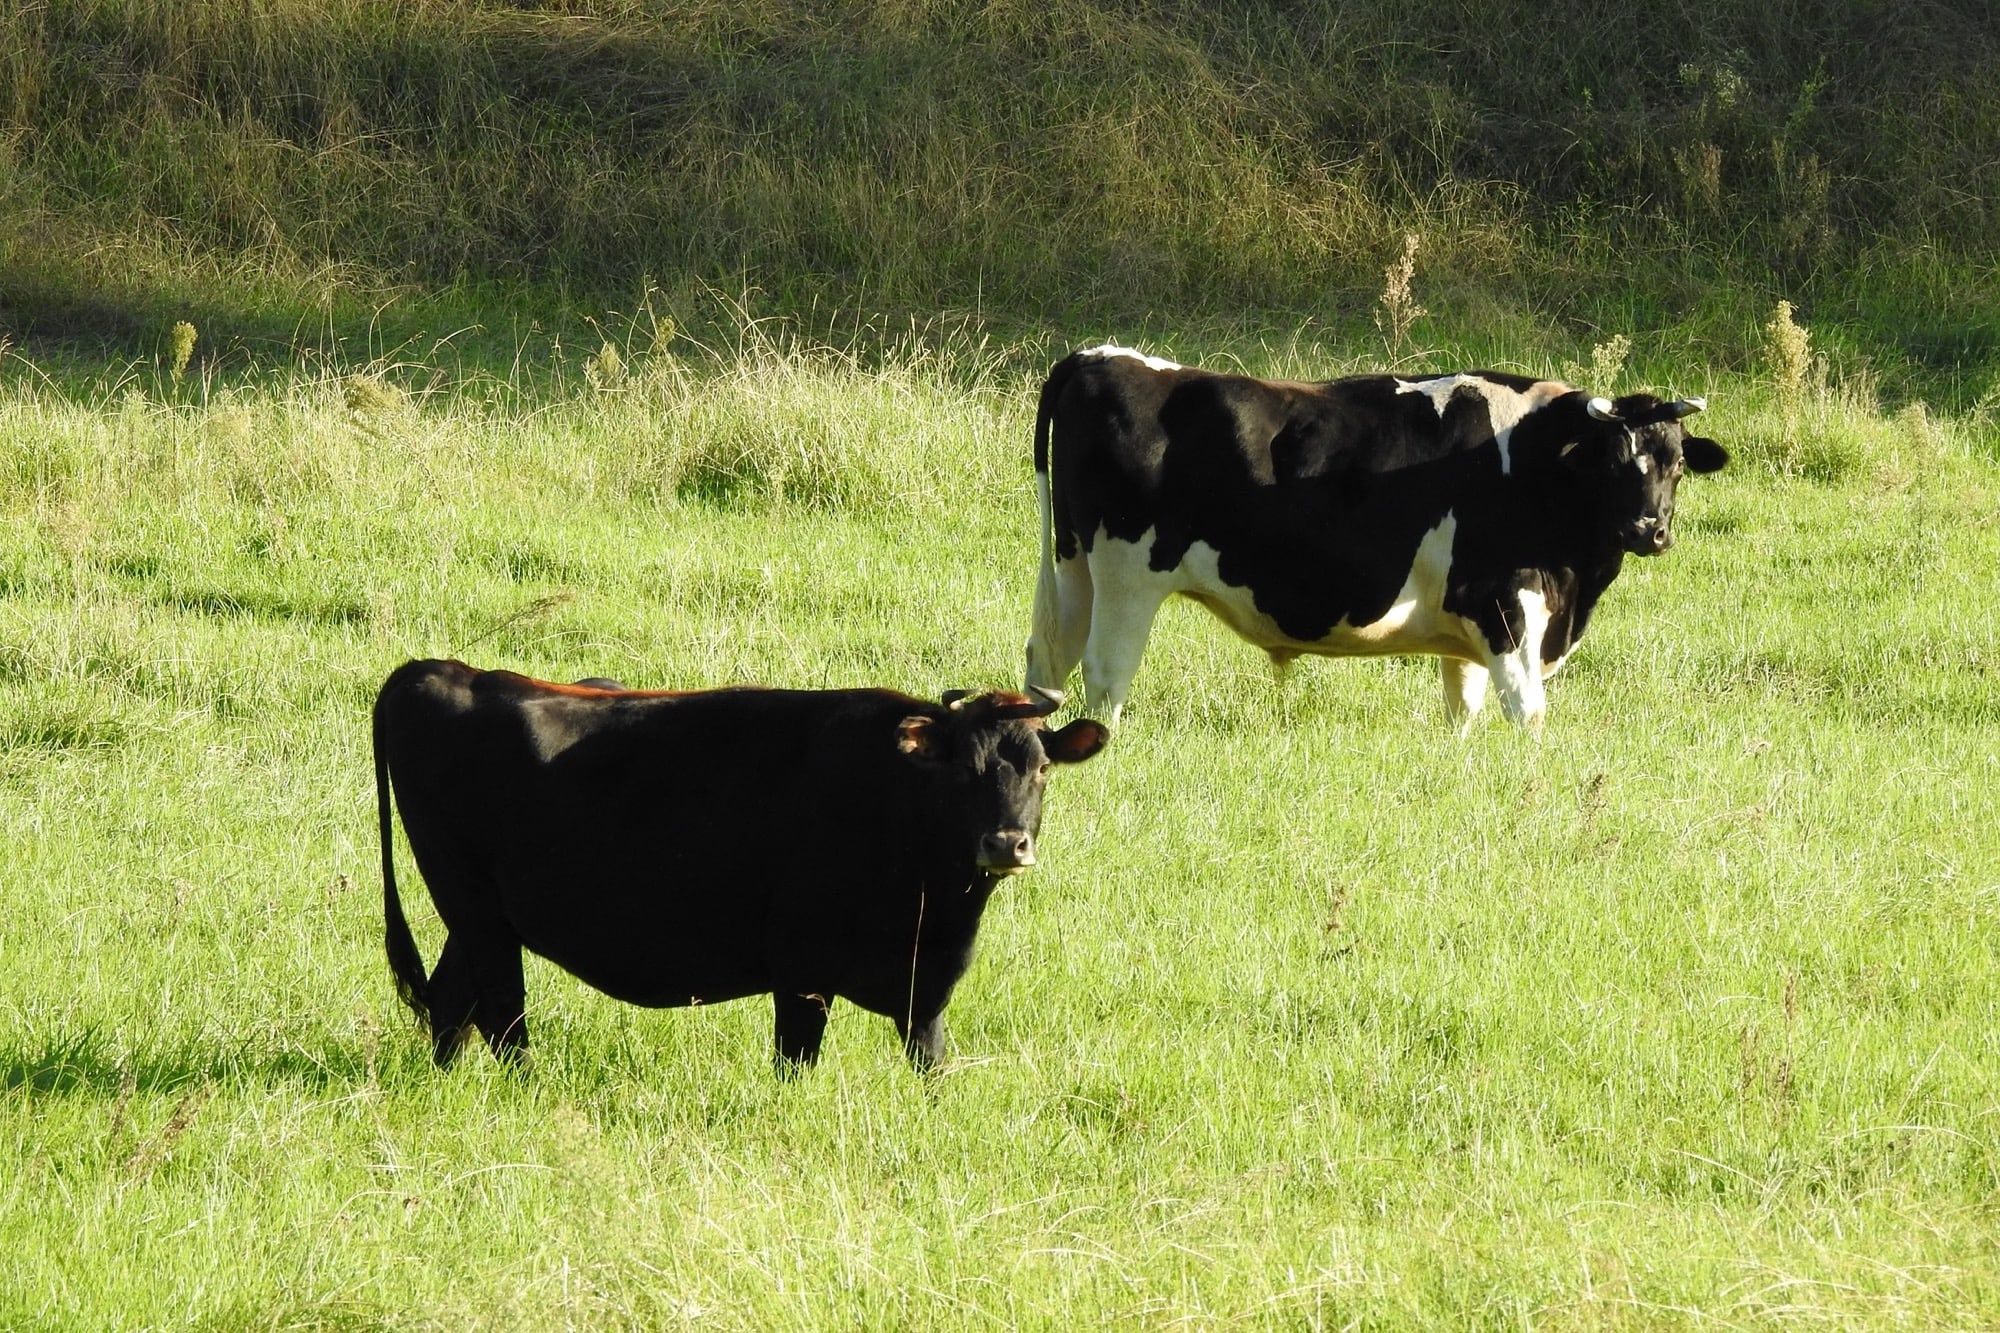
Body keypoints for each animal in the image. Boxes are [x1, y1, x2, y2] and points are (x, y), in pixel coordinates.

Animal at [1024, 342, 1728, 728]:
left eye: (1678, 464)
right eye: (1615, 462)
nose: (1650, 530)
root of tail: (1099, 356)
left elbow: (1462, 707)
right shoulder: (1503, 601)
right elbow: (1525, 708)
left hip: (1072, 566)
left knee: (1048, 661)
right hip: (1127, 578)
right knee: (1106, 674)